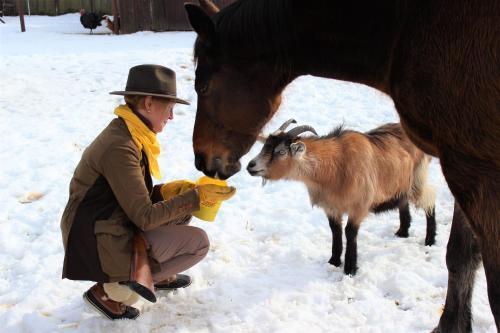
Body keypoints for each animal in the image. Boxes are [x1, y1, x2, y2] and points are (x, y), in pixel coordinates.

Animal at [248, 119, 436, 274]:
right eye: (265, 146)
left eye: (280, 151)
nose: (251, 165)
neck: (335, 167)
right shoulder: (331, 206)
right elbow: (335, 230)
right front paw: (333, 261)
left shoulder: (359, 205)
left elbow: (349, 232)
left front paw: (350, 269)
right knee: (404, 201)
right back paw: (402, 232)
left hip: (417, 179)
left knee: (430, 199)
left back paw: (430, 240)